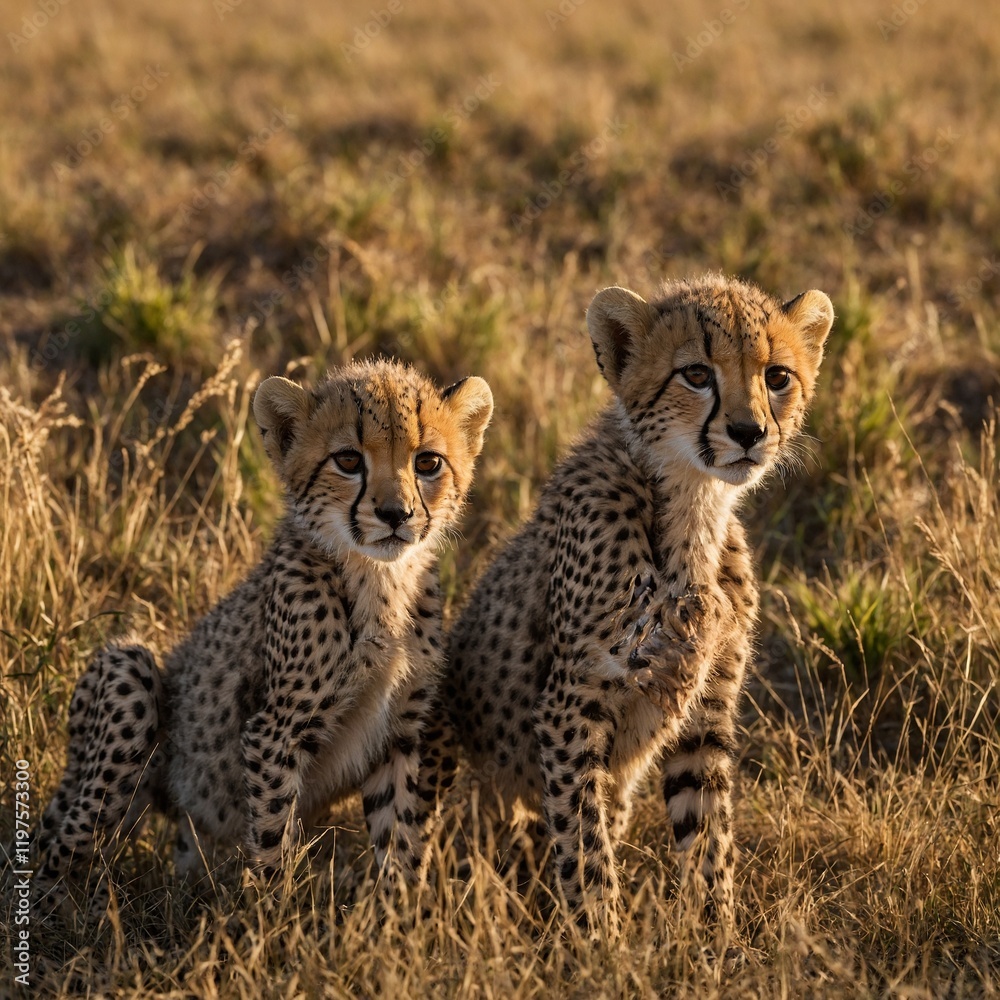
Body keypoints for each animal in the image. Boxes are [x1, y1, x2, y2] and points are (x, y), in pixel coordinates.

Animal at [34, 359, 493, 909]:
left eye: (428, 463)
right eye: (347, 460)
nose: (395, 514)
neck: (380, 579)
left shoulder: (401, 733)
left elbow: (398, 834)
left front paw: (398, 915)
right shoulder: (273, 733)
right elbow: (274, 837)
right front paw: (277, 918)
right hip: (129, 679)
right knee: (62, 844)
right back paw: (58, 909)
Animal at [437, 274, 833, 940]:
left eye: (777, 376)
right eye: (696, 374)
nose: (749, 432)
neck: (691, 508)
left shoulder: (705, 710)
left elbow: (708, 835)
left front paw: (717, 940)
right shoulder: (571, 708)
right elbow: (584, 841)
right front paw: (601, 942)